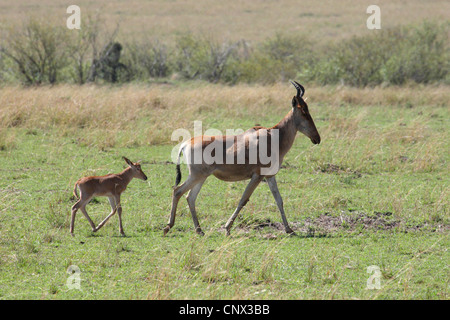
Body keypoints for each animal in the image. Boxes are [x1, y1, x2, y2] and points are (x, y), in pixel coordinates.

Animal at [165, 80, 320, 235]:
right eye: (303, 111)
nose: (317, 138)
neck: (272, 136)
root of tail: (186, 143)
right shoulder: (257, 176)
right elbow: (243, 199)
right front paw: (227, 228)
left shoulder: (270, 176)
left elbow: (279, 200)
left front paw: (289, 230)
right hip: (197, 175)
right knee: (177, 191)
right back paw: (168, 227)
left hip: (202, 177)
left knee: (190, 197)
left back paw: (199, 231)